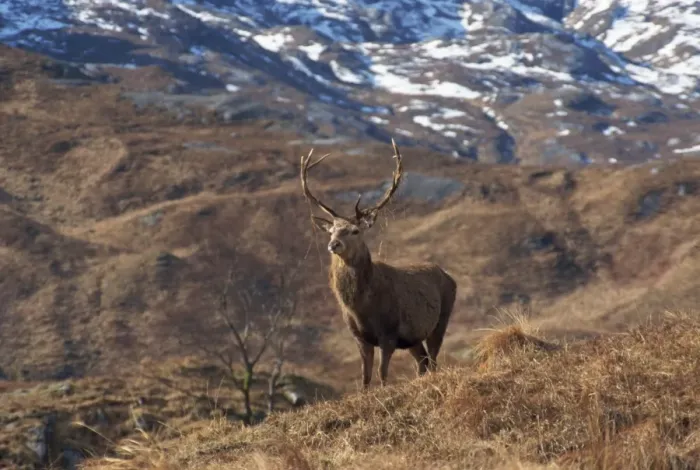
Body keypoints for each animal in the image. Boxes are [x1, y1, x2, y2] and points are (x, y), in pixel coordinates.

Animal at [300, 139, 457, 389]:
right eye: (332, 231)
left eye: (355, 231)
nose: (334, 244)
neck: (363, 307)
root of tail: (449, 277)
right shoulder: (359, 337)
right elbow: (365, 378)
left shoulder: (389, 332)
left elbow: (383, 374)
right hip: (413, 337)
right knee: (422, 361)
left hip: (441, 319)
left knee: (432, 360)